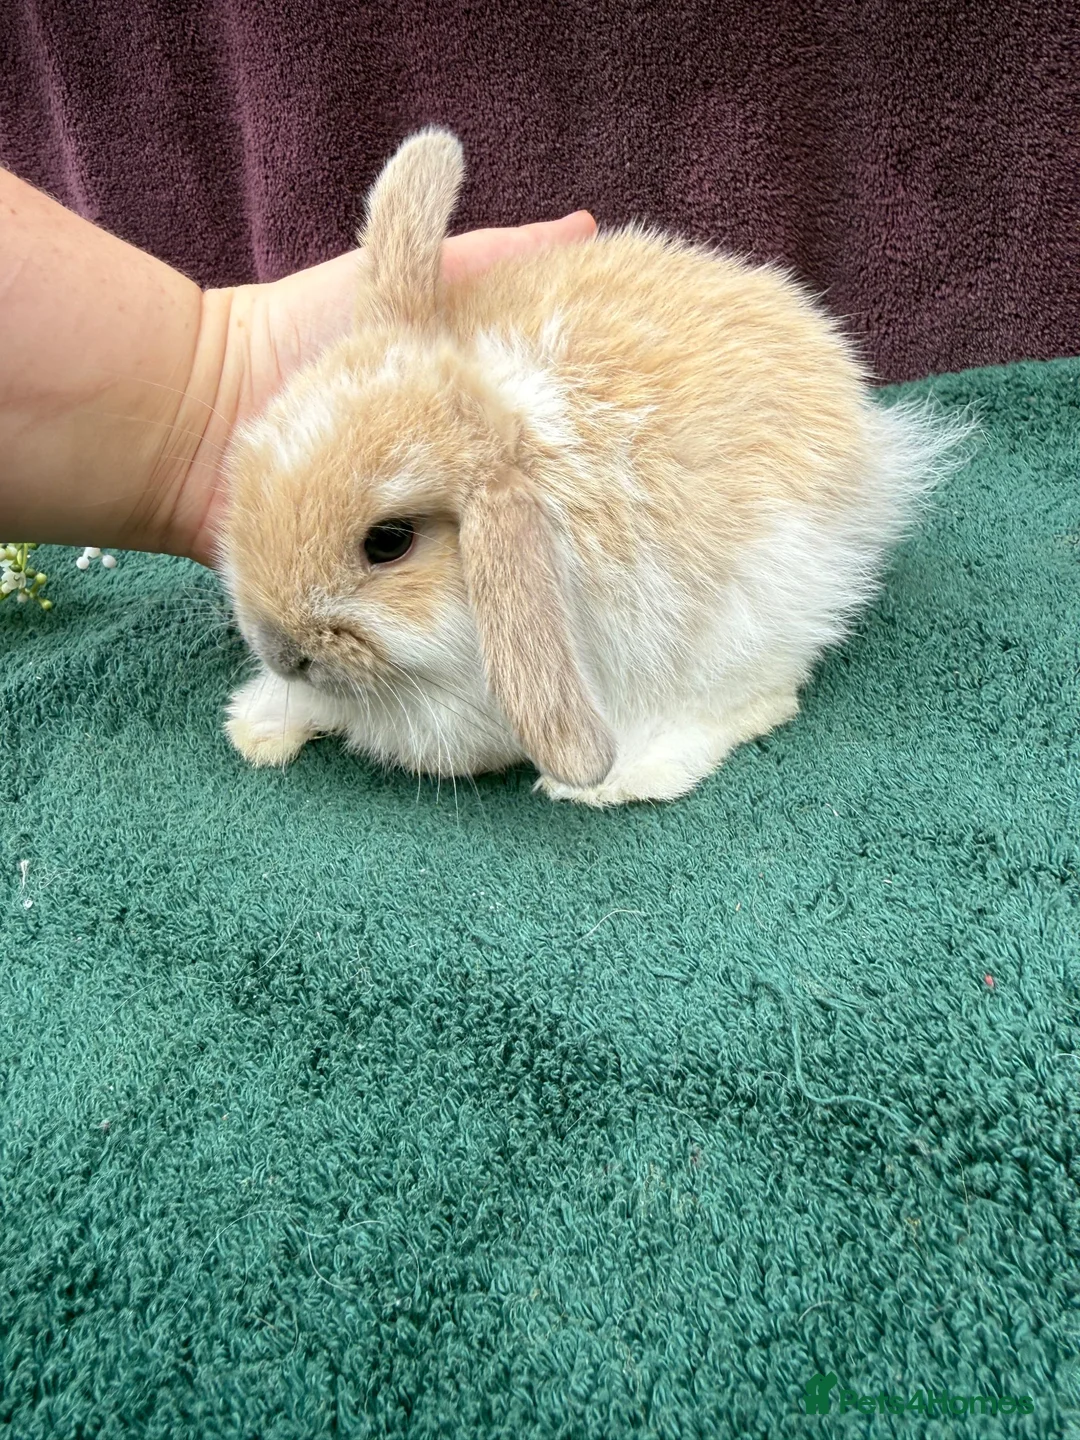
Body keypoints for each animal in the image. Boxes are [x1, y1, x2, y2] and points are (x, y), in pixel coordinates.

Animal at [219, 128, 962, 806]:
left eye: (388, 542)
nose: (280, 649)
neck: (507, 421)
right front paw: (256, 725)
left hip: (750, 618)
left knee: (756, 700)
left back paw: (622, 778)